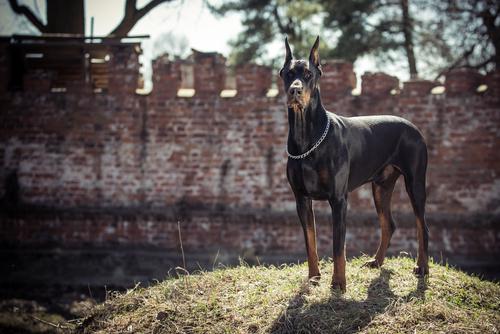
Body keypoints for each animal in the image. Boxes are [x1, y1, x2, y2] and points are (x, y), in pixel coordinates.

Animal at [282, 37, 430, 292]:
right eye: (288, 74)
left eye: (309, 74)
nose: (295, 90)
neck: (307, 138)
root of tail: (413, 126)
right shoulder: (301, 199)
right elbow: (310, 242)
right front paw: (314, 277)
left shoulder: (339, 199)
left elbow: (338, 246)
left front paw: (338, 282)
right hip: (380, 187)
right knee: (389, 224)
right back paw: (376, 262)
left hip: (415, 183)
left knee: (423, 226)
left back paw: (422, 267)